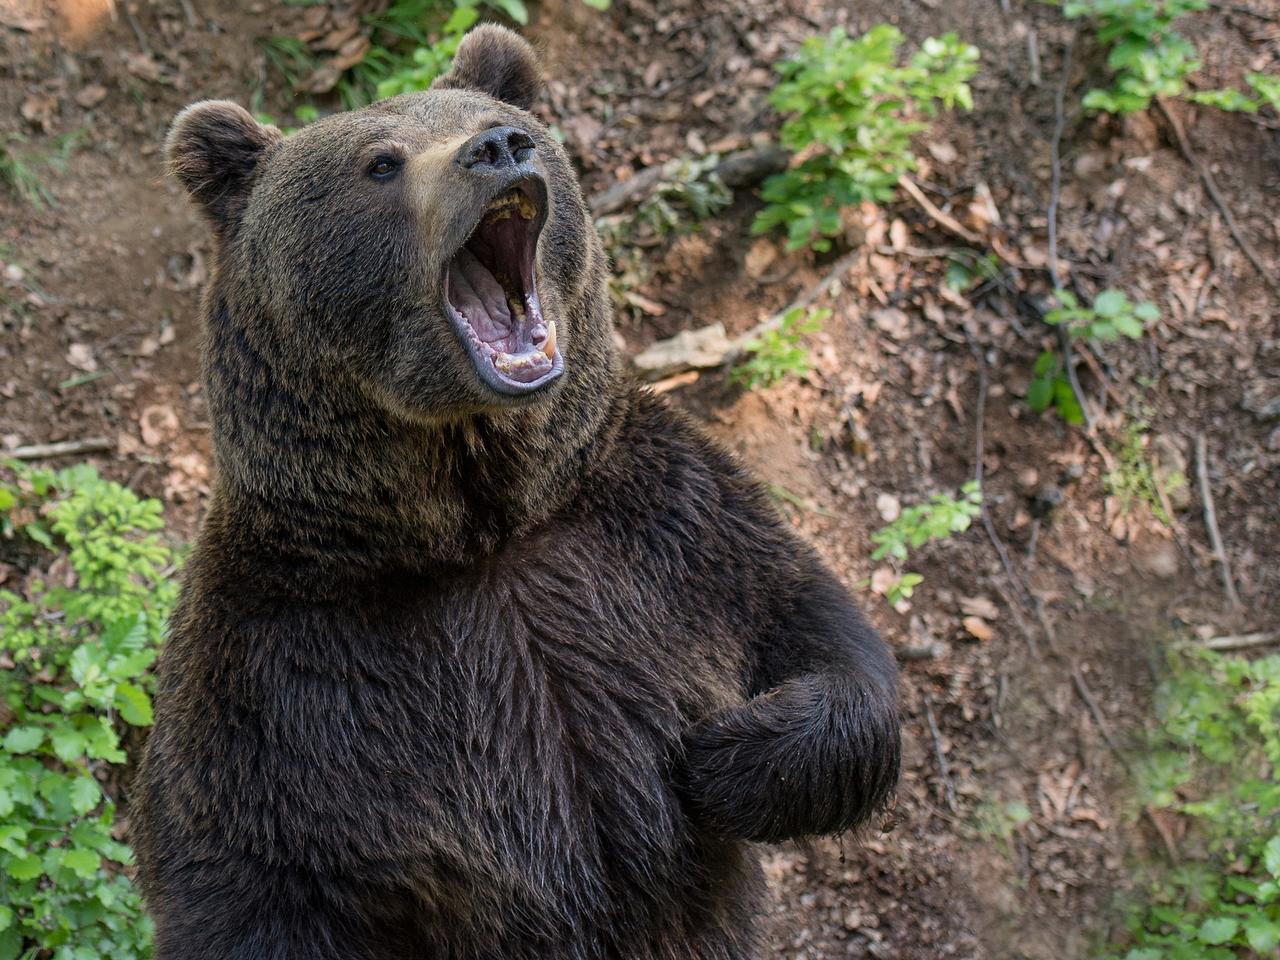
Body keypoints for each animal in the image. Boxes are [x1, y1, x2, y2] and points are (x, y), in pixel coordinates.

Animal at [135, 24, 901, 960]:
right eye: (380, 162)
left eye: (499, 120)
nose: (498, 149)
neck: (482, 525)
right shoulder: (282, 681)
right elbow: (243, 884)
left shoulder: (664, 529)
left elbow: (821, 635)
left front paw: (724, 754)